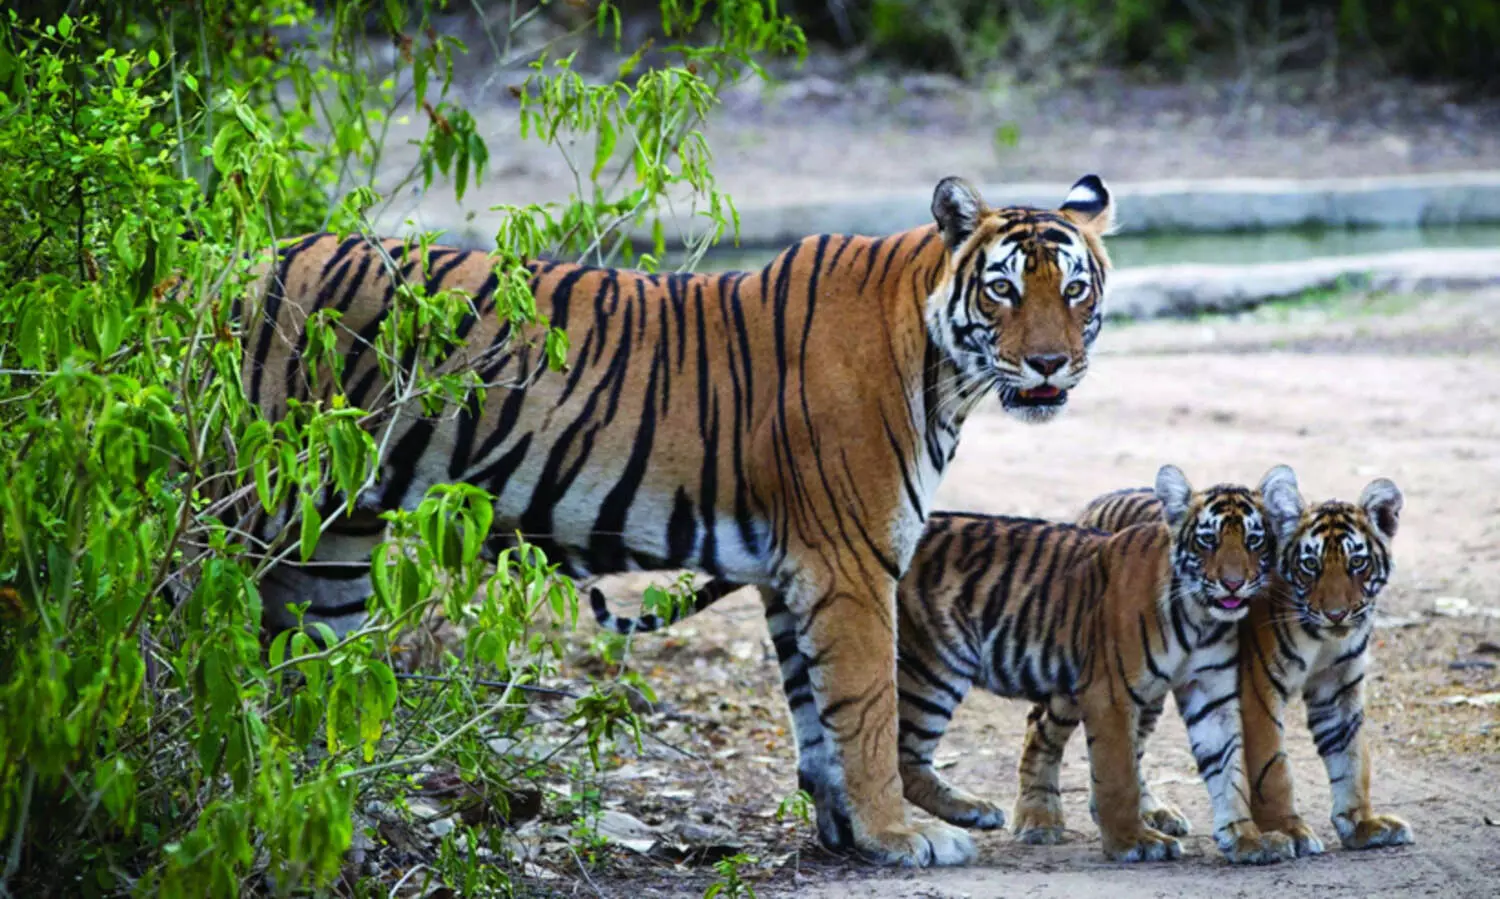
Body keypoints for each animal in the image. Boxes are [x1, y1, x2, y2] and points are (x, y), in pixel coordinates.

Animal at [231, 173, 1118, 868]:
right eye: (1003, 288)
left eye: (1074, 289)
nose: (1050, 363)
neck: (946, 373)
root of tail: (231, 264)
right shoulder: (850, 562)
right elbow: (867, 707)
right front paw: (899, 835)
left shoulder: (792, 570)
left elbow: (817, 715)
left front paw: (845, 833)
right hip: (245, 506)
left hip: (333, 547)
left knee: (304, 686)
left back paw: (324, 819)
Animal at [593, 465, 1298, 864]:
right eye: (1207, 541)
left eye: (1254, 540)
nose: (1233, 583)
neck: (1202, 616)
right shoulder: (1110, 692)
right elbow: (1118, 773)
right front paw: (1134, 844)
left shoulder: (1210, 692)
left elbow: (1229, 766)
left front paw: (1248, 840)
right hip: (938, 663)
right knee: (899, 755)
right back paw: (970, 814)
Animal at [1022, 470, 1413, 857]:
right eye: (1310, 565)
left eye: (1357, 563)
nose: (1336, 614)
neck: (1324, 638)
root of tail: (1100, 500)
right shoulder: (1258, 687)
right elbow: (1272, 768)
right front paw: (1288, 830)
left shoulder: (1339, 688)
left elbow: (1352, 758)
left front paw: (1363, 824)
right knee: (1040, 728)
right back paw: (1038, 820)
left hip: (1149, 686)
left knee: (1130, 746)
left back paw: (1154, 815)